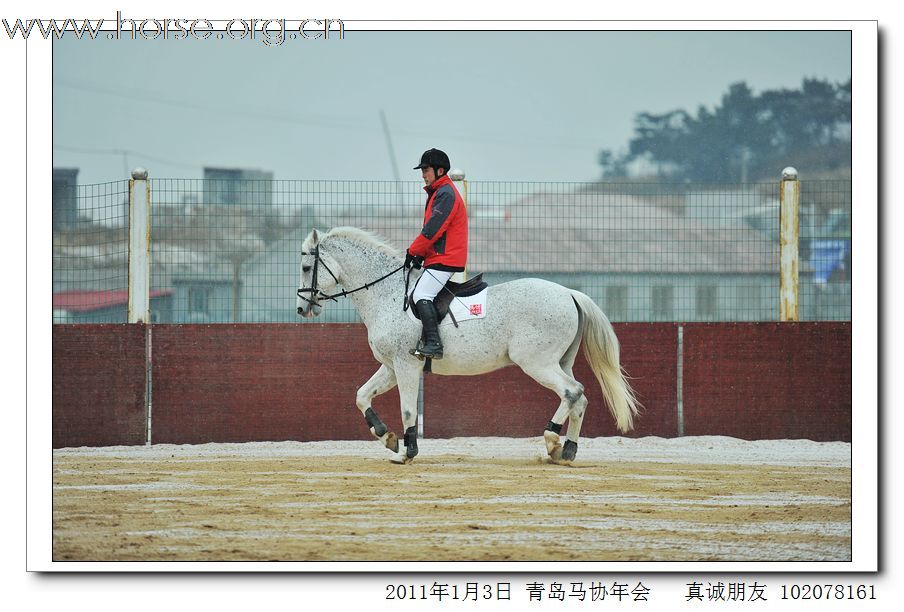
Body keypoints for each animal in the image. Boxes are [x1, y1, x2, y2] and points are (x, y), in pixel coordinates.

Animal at [294, 228, 636, 464]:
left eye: (306, 268)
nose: (301, 309)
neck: (388, 293)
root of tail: (569, 293)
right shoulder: (391, 367)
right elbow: (361, 395)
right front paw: (387, 437)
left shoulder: (406, 365)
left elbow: (408, 409)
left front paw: (407, 451)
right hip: (559, 361)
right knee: (579, 398)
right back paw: (567, 451)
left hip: (538, 363)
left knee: (572, 391)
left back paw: (552, 439)